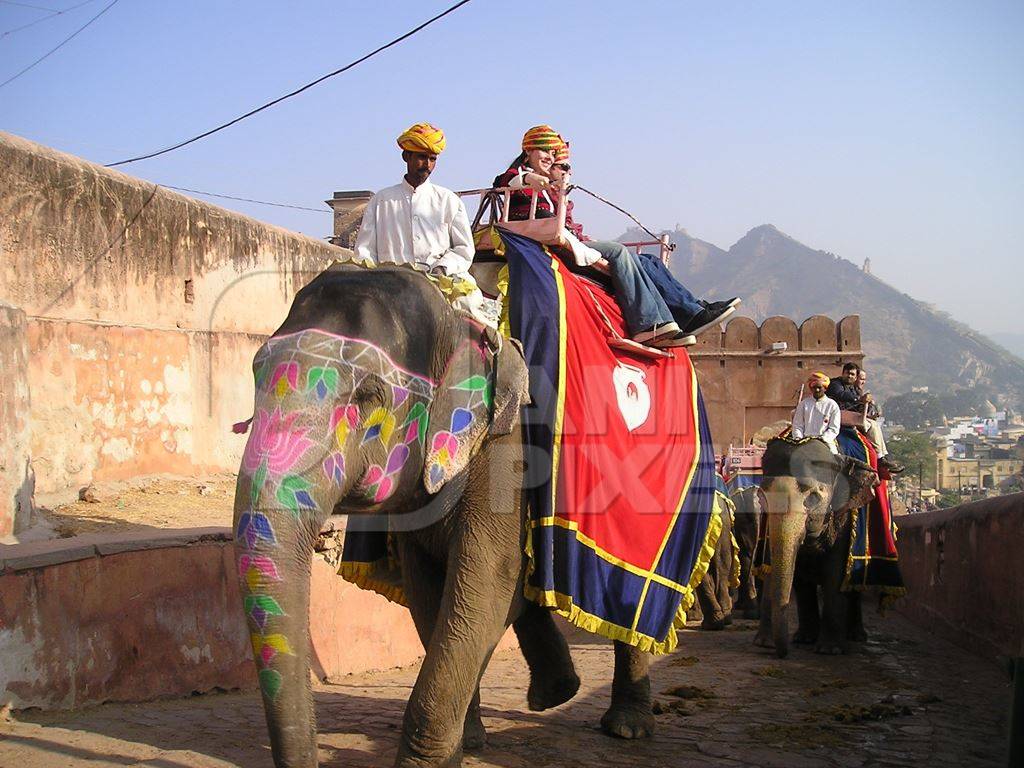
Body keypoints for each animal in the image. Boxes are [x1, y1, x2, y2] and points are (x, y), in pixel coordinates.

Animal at [234, 266, 655, 768]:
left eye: (368, 395)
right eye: (254, 374)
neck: (459, 321)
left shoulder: (508, 452)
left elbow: (485, 581)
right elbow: (432, 591)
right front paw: (468, 743)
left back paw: (626, 726)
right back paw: (556, 694)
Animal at [749, 438, 876, 663]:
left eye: (814, 497)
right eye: (763, 497)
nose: (780, 654)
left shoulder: (843, 517)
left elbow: (835, 573)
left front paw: (830, 650)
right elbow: (778, 567)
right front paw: (765, 642)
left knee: (853, 584)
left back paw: (856, 636)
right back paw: (805, 637)